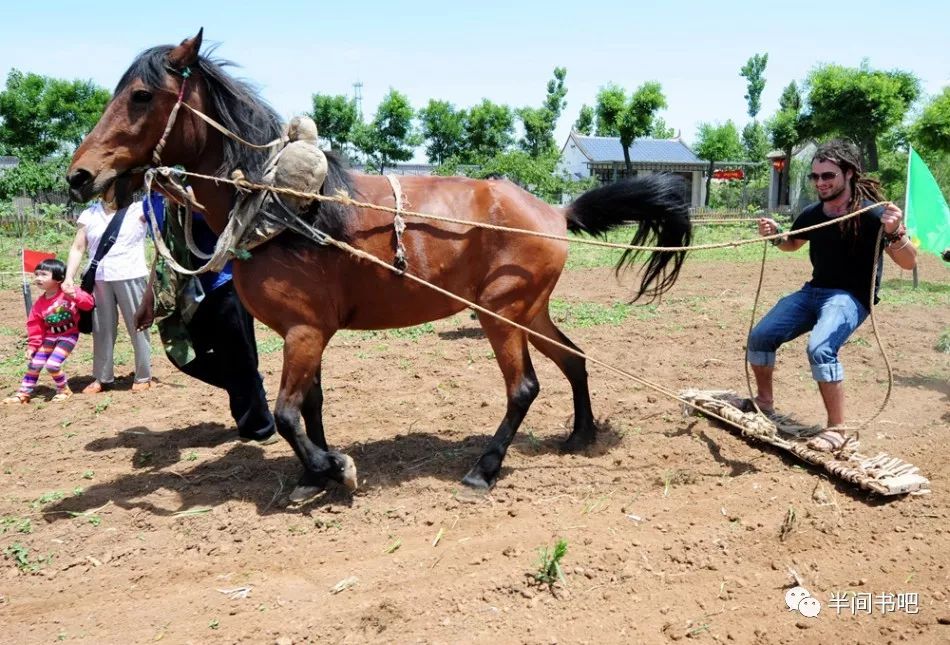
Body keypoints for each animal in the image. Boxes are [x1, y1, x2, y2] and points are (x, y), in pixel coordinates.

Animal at [67, 31, 692, 498]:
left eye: (141, 95)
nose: (79, 175)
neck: (282, 207)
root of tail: (553, 210)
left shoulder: (304, 331)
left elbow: (288, 414)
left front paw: (333, 468)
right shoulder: (307, 331)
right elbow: (310, 405)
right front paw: (310, 476)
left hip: (500, 312)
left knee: (524, 387)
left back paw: (483, 468)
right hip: (527, 310)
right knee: (574, 359)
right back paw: (580, 436)